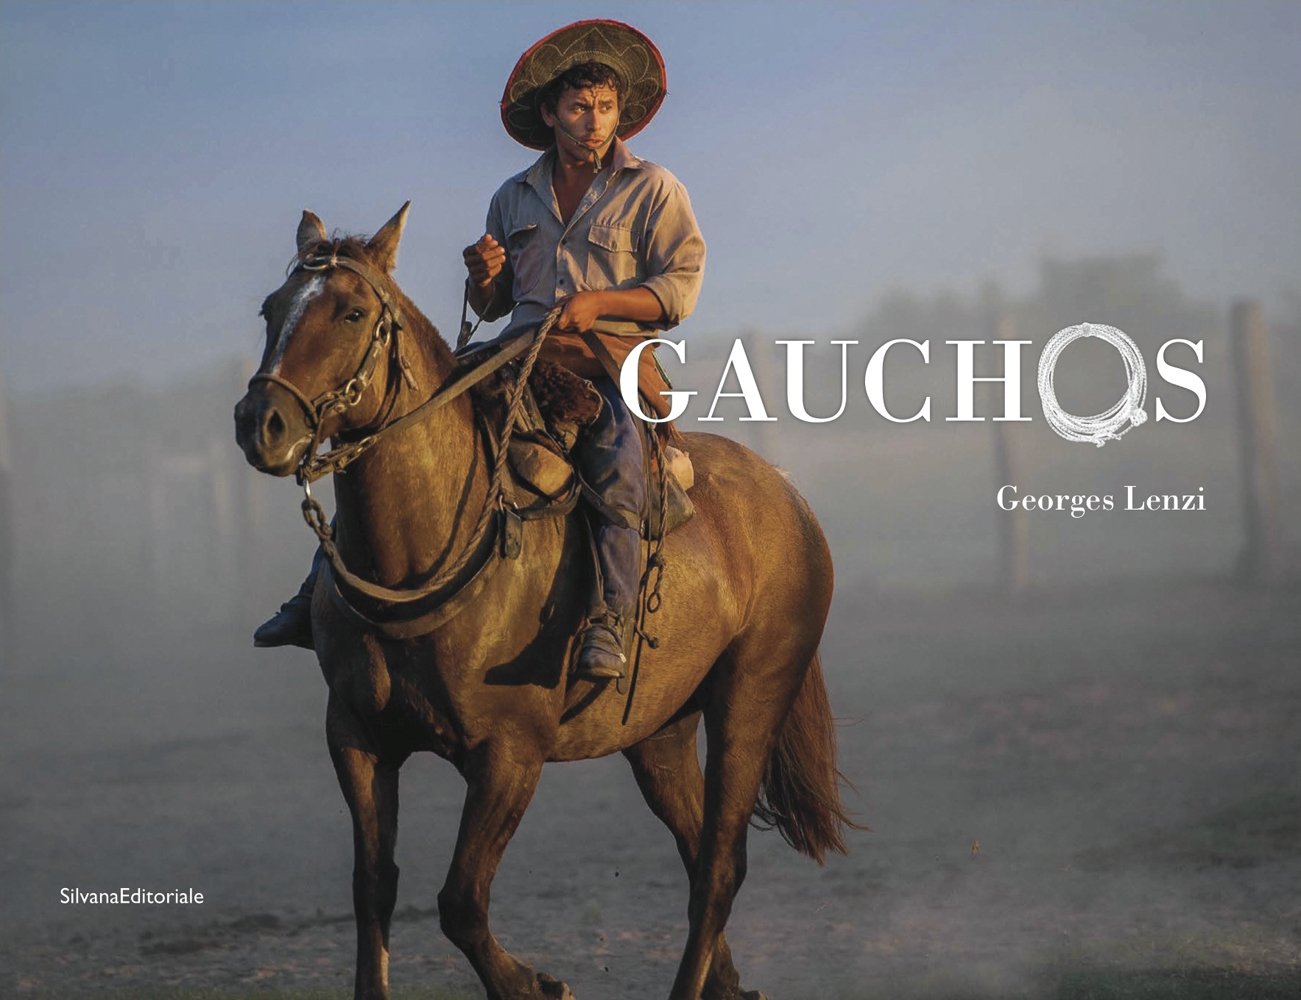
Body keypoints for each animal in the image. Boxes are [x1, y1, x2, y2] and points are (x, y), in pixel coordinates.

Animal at [231, 205, 853, 998]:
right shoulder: (355, 736)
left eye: (350, 312)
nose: (262, 422)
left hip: (751, 698)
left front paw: (534, 984)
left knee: (718, 864)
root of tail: (789, 496)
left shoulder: (509, 753)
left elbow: (461, 901)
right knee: (695, 848)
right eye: (271, 309)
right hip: (660, 731)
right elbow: (372, 888)